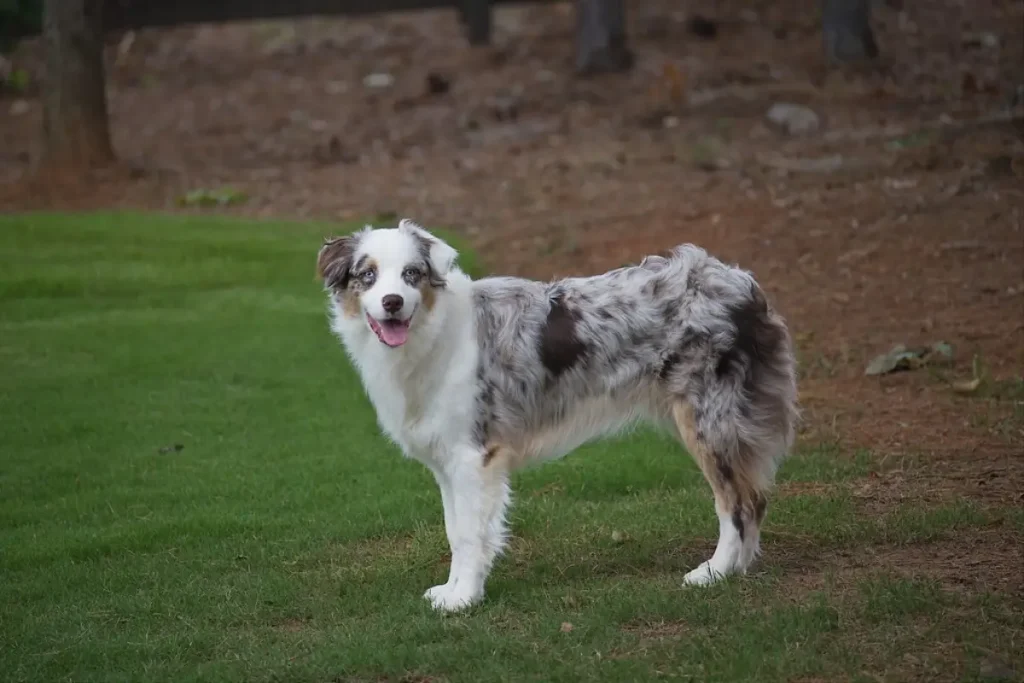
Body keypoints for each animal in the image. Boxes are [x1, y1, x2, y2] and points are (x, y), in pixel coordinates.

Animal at [315, 220, 794, 614]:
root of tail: (743, 283)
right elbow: (455, 529)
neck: (432, 335)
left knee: (741, 502)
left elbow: (470, 534)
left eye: (411, 273)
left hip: (709, 420)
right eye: (368, 275)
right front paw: (450, 591)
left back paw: (714, 572)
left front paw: (464, 599)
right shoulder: (449, 461)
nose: (392, 302)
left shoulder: (474, 456)